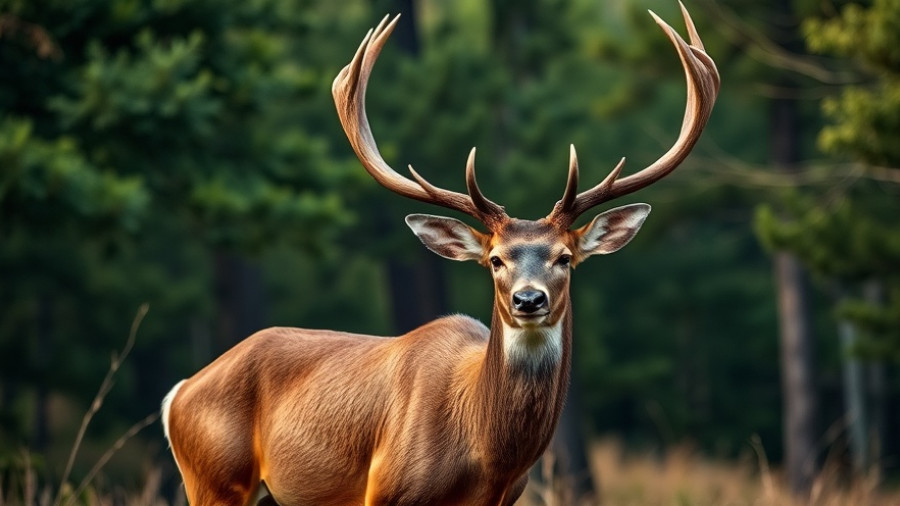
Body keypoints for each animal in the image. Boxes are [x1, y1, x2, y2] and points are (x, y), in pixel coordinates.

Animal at [161, 4, 719, 505]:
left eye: (564, 258)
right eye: (496, 260)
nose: (529, 300)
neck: (485, 456)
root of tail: (178, 394)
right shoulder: (383, 488)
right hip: (215, 479)